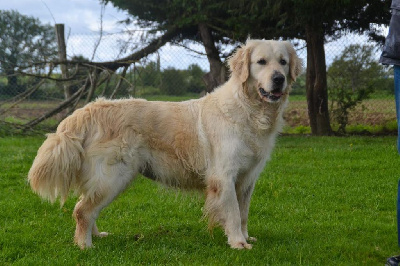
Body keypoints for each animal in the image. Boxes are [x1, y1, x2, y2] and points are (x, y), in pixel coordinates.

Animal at [28, 39, 300, 249]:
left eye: (283, 62)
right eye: (261, 62)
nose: (279, 79)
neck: (249, 109)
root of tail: (87, 110)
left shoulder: (248, 178)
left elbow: (243, 214)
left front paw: (244, 236)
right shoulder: (224, 176)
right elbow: (232, 213)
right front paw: (238, 243)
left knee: (86, 206)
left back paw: (96, 235)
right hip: (113, 177)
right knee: (82, 210)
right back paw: (85, 246)